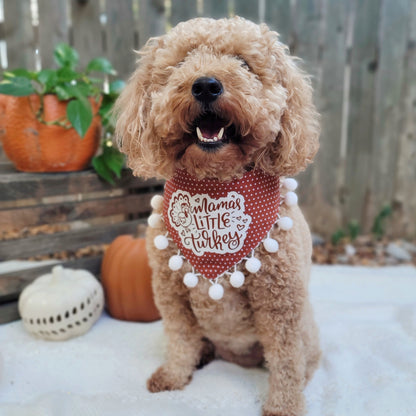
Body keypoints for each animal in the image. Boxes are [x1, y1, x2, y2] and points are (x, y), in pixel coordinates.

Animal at [115, 16, 320, 416]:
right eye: (181, 62)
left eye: (244, 63)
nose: (206, 85)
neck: (214, 188)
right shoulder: (171, 294)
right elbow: (180, 341)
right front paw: (174, 377)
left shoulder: (281, 304)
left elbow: (286, 361)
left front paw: (284, 406)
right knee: (198, 342)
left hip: (307, 329)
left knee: (303, 360)